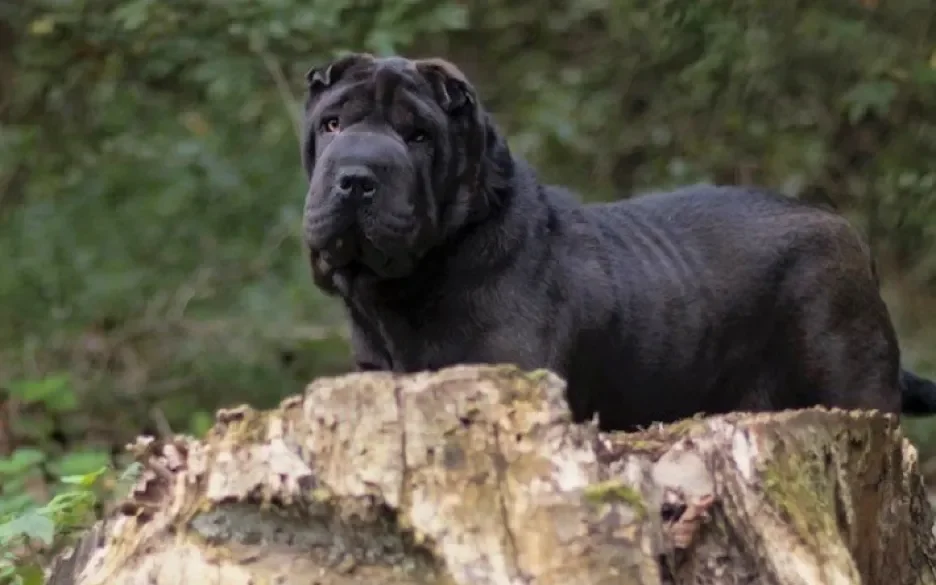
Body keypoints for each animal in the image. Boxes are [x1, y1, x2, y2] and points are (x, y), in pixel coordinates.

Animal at [298, 52, 936, 432]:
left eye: (418, 135)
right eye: (332, 124)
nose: (355, 177)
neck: (408, 290)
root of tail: (846, 232)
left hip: (851, 389)